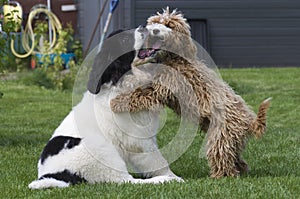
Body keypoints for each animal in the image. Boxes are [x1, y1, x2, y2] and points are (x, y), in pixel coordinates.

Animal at [28, 28, 180, 189]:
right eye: (124, 40)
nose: (143, 27)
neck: (121, 83)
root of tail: (54, 175)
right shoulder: (139, 141)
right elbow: (158, 161)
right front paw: (173, 177)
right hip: (103, 150)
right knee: (128, 180)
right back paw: (166, 180)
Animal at [110, 7, 272, 178]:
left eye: (169, 25)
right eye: (156, 22)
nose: (154, 30)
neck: (174, 59)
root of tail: (251, 121)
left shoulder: (163, 87)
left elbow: (140, 93)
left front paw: (116, 102)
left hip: (220, 137)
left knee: (222, 160)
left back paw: (218, 177)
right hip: (231, 141)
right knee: (237, 159)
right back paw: (240, 169)